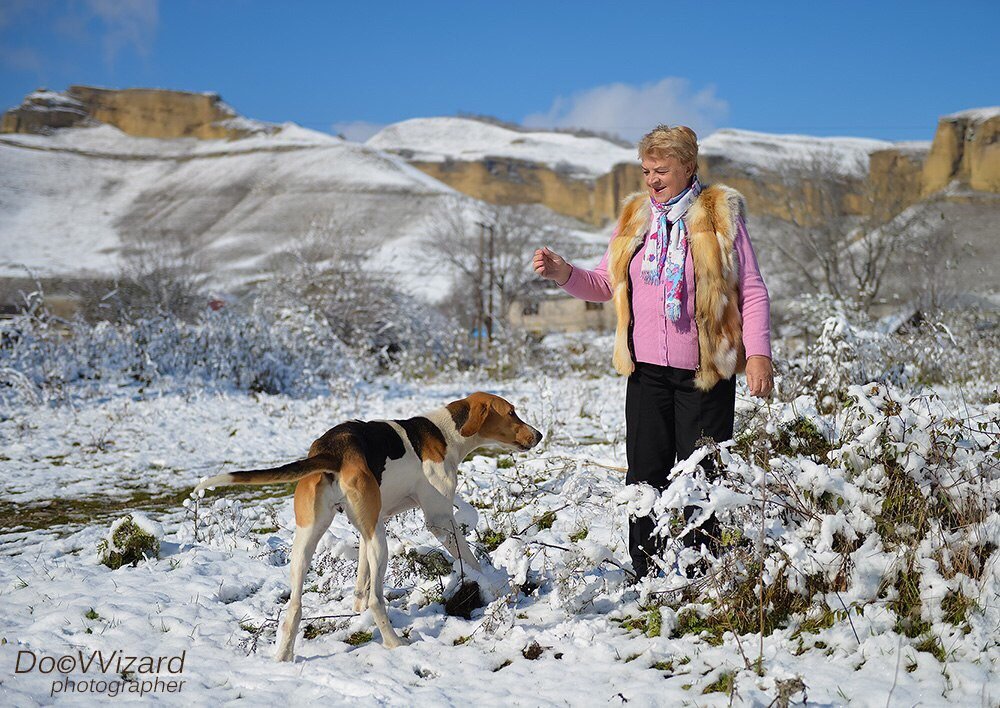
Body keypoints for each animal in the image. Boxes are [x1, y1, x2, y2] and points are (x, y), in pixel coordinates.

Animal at [194, 390, 540, 660]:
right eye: (511, 412)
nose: (538, 435)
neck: (446, 433)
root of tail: (331, 450)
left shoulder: (371, 524)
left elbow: (360, 583)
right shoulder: (440, 521)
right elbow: (471, 561)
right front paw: (493, 587)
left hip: (315, 540)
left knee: (295, 607)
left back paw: (284, 656)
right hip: (380, 541)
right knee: (377, 599)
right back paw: (394, 643)